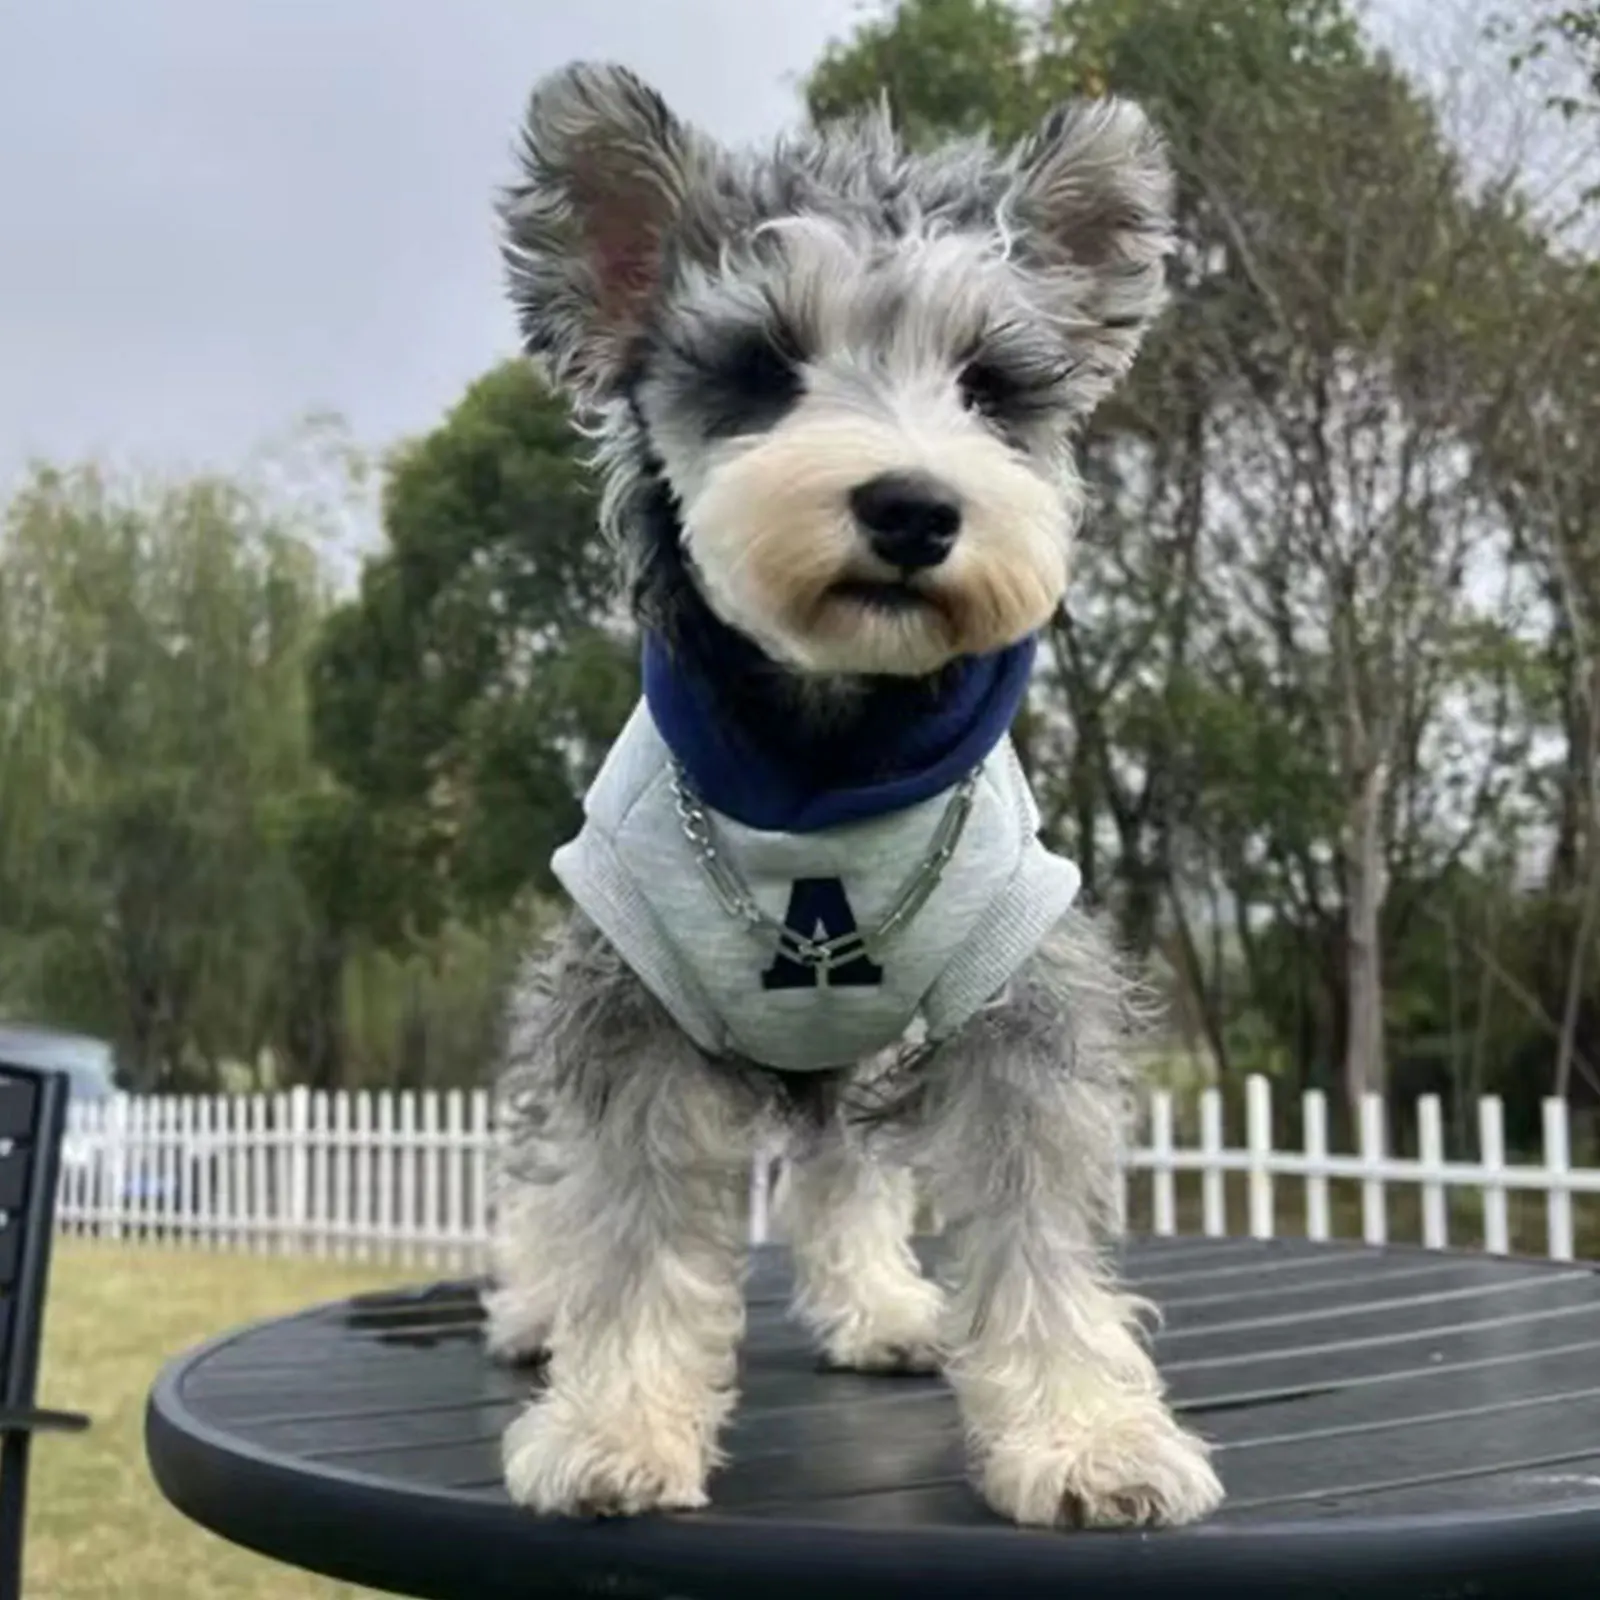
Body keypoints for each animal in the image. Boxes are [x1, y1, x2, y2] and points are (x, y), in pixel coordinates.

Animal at [480, 62, 1216, 1529]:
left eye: (989, 385)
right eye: (765, 369)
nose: (915, 507)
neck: (825, 759)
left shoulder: (1018, 1007)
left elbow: (1036, 1230)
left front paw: (1084, 1435)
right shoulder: (626, 1011)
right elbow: (628, 1223)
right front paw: (613, 1424)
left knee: (844, 1176)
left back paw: (881, 1309)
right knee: (553, 1177)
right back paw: (537, 1306)